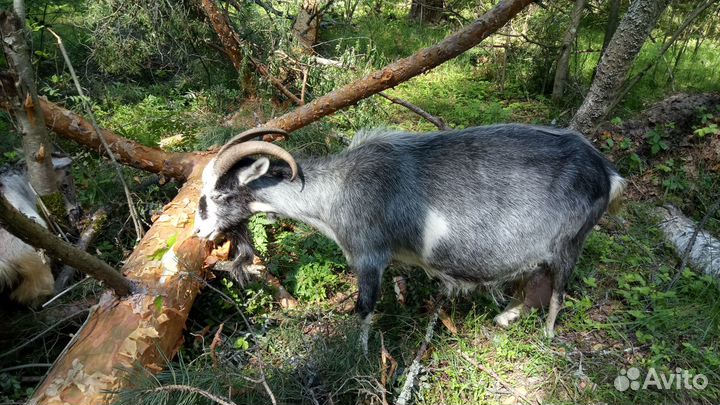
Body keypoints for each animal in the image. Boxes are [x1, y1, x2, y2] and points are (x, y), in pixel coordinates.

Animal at [194, 125, 625, 348]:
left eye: (221, 195)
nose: (199, 231)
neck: (338, 190)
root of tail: (607, 172)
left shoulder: (369, 255)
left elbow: (365, 308)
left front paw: (361, 354)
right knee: (537, 285)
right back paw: (506, 316)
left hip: (569, 243)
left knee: (557, 293)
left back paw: (548, 337)